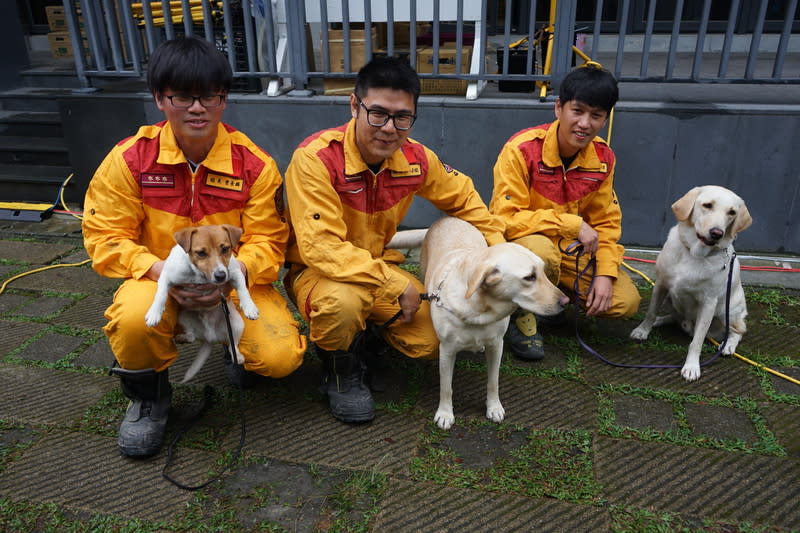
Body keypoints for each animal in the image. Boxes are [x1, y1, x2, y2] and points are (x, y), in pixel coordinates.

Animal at [142, 224, 258, 382]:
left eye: (225, 249)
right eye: (201, 253)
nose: (221, 276)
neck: (199, 275)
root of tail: (210, 336)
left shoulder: (234, 272)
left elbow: (243, 289)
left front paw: (249, 307)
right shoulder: (166, 276)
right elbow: (160, 295)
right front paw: (154, 313)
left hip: (236, 323)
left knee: (232, 344)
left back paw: (238, 356)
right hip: (183, 317)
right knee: (191, 335)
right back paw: (183, 337)